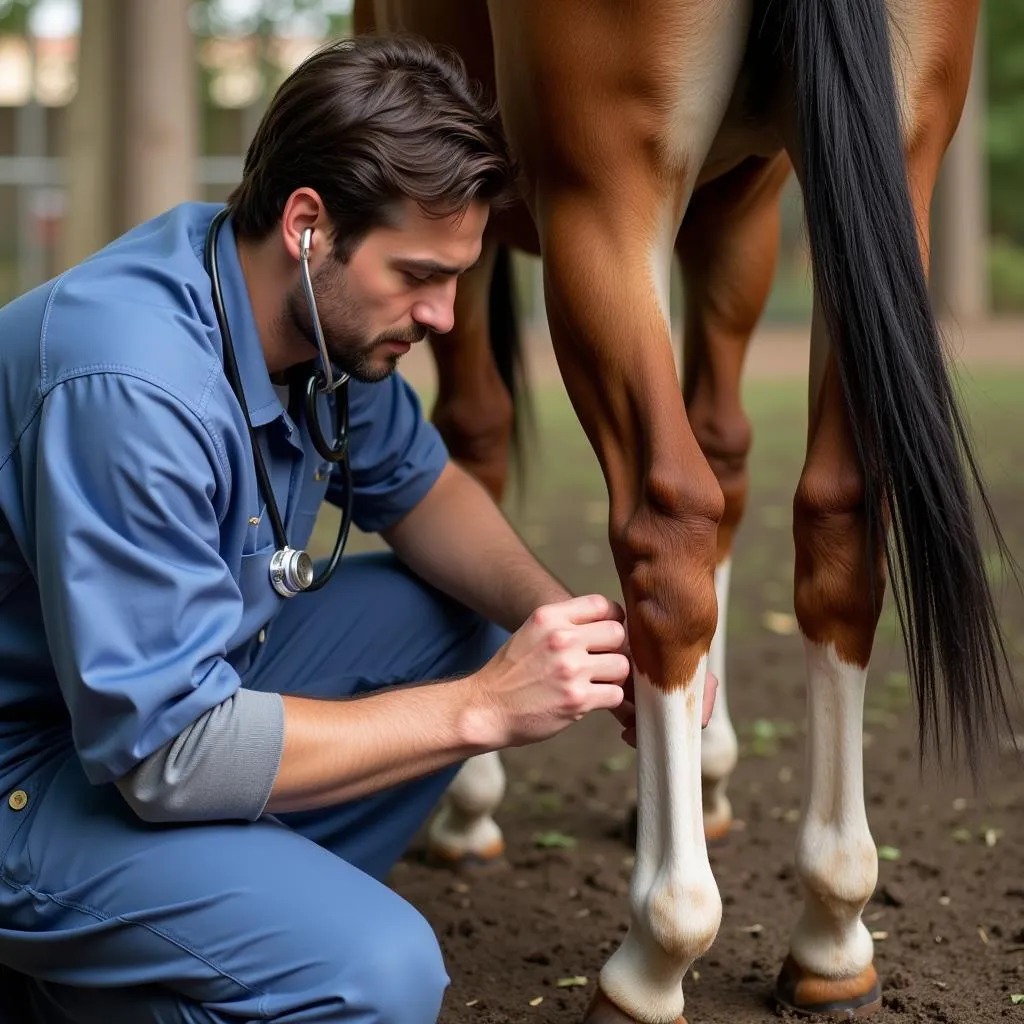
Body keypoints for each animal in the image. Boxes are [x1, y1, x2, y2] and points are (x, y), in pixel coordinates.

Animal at [356, 4, 1011, 1019]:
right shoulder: (732, 216)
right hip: (887, 173)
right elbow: (726, 452)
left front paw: (469, 803)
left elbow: (475, 448)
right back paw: (832, 923)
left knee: (666, 520)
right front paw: (698, 777)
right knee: (829, 520)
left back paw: (658, 949)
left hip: (599, 199)